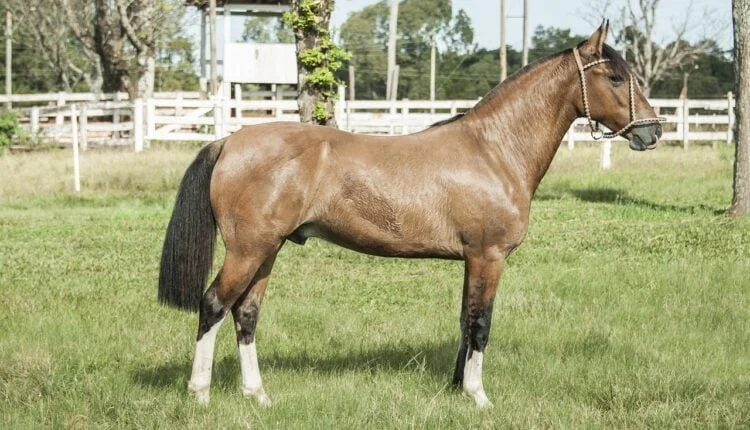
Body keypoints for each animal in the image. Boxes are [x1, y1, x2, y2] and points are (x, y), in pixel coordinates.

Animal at [158, 22, 663, 409]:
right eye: (615, 77)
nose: (652, 131)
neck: (494, 150)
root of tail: (230, 141)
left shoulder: (472, 260)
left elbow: (465, 321)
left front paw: (457, 388)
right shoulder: (489, 256)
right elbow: (481, 324)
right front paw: (479, 397)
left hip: (267, 251)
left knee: (245, 314)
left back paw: (258, 395)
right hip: (248, 250)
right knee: (213, 304)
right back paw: (200, 393)